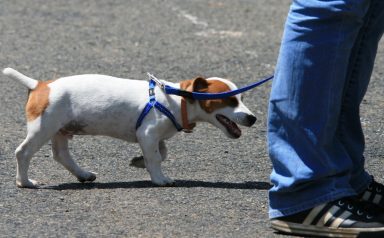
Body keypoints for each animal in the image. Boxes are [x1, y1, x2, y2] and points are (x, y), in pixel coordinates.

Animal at [3, 67, 258, 188]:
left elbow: (161, 153)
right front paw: (159, 178)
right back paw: (25, 182)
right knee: (23, 153)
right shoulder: (148, 133)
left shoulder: (153, 137)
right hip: (43, 128)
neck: (178, 100)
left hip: (61, 130)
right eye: (230, 100)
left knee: (61, 155)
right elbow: (156, 158)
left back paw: (83, 174)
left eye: (242, 98)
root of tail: (40, 85)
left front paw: (138, 161)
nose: (253, 118)